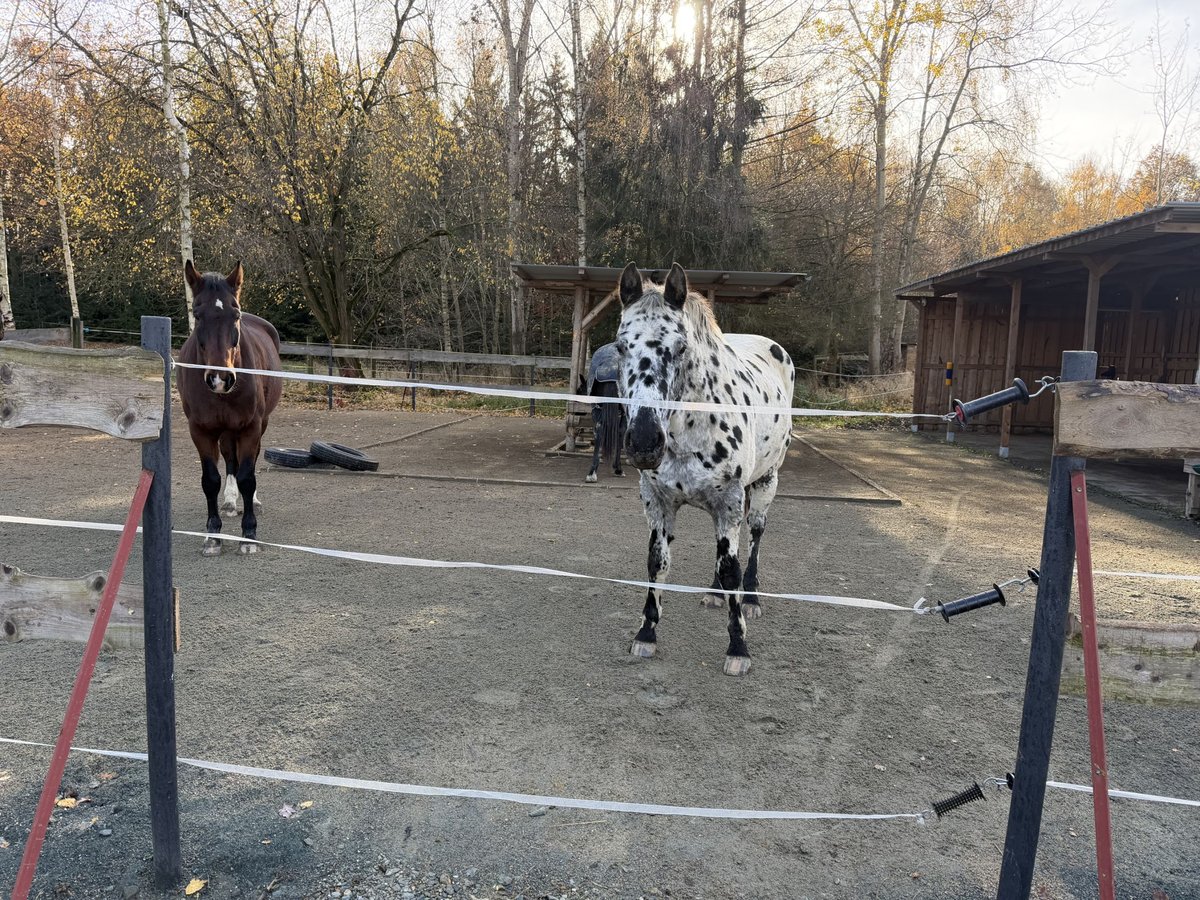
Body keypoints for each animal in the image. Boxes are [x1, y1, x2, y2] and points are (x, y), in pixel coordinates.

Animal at [178, 260, 283, 555]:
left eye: (235, 315)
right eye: (197, 314)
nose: (220, 378)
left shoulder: (250, 427)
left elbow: (248, 476)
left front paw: (249, 534)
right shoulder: (201, 431)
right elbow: (211, 480)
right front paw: (213, 535)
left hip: (258, 425)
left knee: (251, 460)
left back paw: (251, 502)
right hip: (224, 430)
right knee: (229, 459)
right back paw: (229, 501)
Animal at [614, 262, 795, 676]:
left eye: (680, 346)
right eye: (620, 346)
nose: (644, 442)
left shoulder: (729, 499)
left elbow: (732, 569)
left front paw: (738, 647)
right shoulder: (658, 501)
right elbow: (658, 562)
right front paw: (646, 633)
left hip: (765, 483)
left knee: (754, 537)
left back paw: (752, 597)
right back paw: (714, 594)